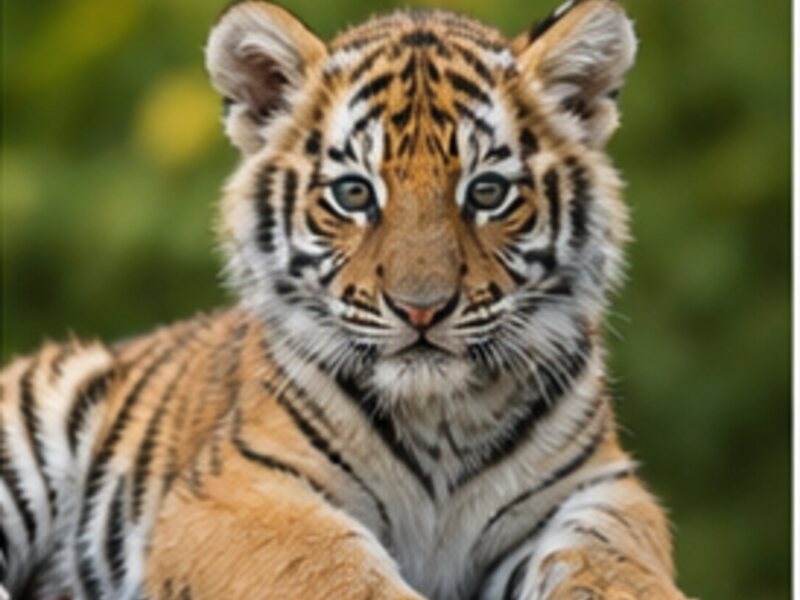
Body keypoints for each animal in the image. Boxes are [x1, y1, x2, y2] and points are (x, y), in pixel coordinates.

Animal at [0, 0, 691, 598]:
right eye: (354, 194)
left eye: (488, 192)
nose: (421, 309)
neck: (441, 420)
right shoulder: (243, 489)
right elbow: (333, 571)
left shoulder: (597, 489)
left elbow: (615, 564)